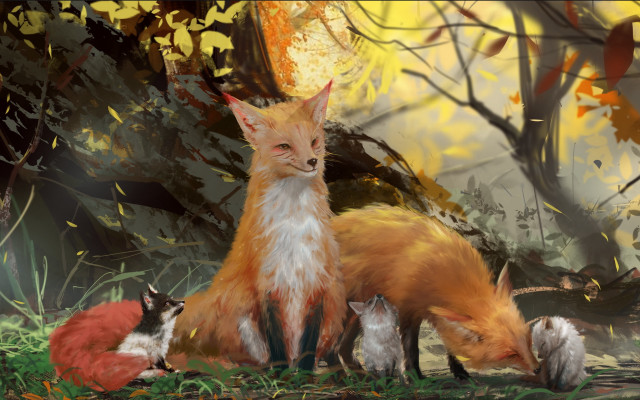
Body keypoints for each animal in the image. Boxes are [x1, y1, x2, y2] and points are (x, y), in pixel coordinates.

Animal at [49, 285, 184, 391]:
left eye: (172, 299)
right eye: (167, 303)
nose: (183, 301)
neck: (161, 334)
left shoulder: (161, 352)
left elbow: (166, 365)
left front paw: (173, 370)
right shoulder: (153, 354)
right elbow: (159, 367)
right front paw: (165, 373)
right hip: (140, 356)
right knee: (132, 377)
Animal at [169, 81, 346, 371]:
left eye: (314, 142)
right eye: (284, 146)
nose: (312, 161)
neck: (293, 225)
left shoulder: (317, 283)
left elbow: (308, 345)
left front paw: (304, 373)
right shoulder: (267, 285)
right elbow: (276, 342)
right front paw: (282, 373)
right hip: (242, 316)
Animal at [328, 204, 539, 380]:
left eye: (528, 342)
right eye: (512, 354)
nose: (538, 369)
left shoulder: (440, 314)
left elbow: (451, 344)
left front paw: (460, 373)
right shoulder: (408, 309)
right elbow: (411, 348)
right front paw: (414, 376)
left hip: (360, 313)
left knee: (343, 348)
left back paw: (360, 375)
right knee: (330, 348)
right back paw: (339, 378)